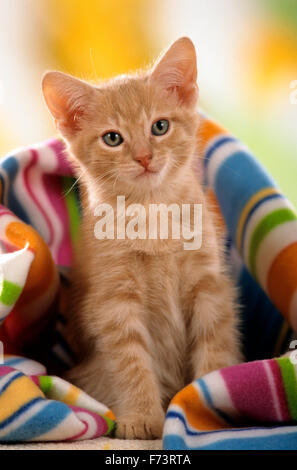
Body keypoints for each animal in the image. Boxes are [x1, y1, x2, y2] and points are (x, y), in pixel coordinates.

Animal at [41, 37, 240, 440]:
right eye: (112, 138)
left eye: (159, 126)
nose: (145, 157)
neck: (152, 211)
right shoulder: (114, 301)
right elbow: (130, 362)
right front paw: (142, 416)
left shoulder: (209, 285)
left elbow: (214, 344)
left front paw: (206, 402)